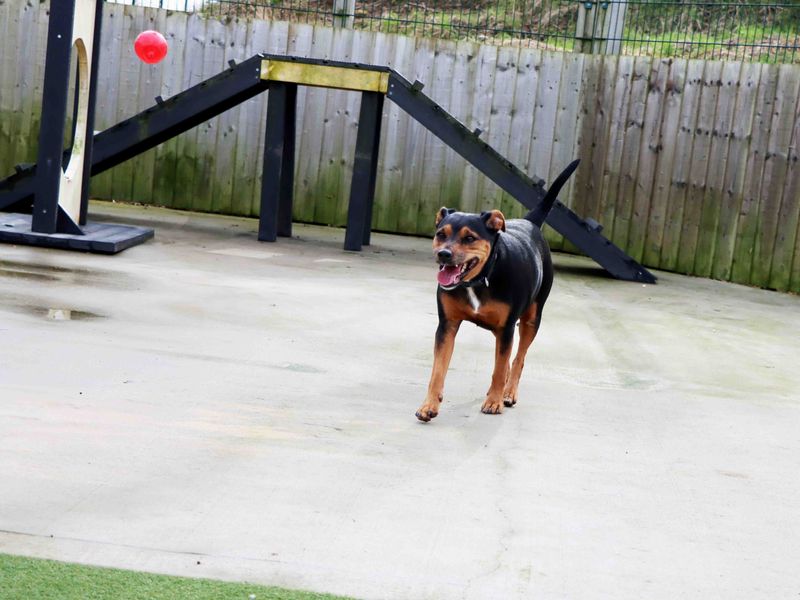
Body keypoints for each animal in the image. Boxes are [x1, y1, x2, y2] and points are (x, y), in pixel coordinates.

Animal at [416, 159, 580, 422]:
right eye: (441, 234)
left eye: (469, 238)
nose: (444, 254)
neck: (480, 279)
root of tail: (530, 223)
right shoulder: (447, 325)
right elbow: (438, 370)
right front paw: (429, 405)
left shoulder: (506, 329)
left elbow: (501, 366)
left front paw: (494, 401)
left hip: (531, 319)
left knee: (518, 358)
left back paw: (508, 392)